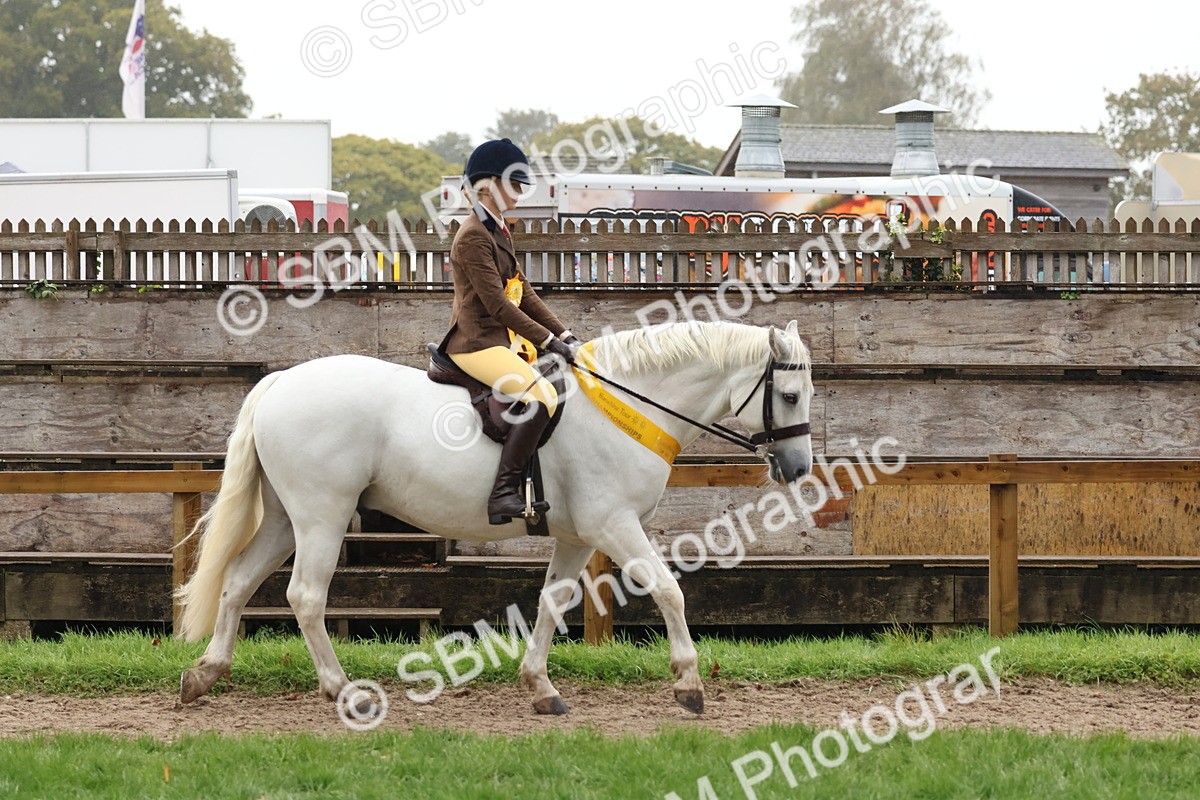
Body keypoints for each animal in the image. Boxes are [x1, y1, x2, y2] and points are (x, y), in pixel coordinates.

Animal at [176, 318, 815, 715]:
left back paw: (205, 674)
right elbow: (668, 591)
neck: (626, 405)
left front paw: (540, 688)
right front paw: (689, 684)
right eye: (788, 396)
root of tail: (283, 380)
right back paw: (343, 691)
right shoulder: (614, 524)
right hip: (321, 517)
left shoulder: (578, 536)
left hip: (287, 519)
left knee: (237, 582)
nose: (799, 467)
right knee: (306, 597)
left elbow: (553, 602)